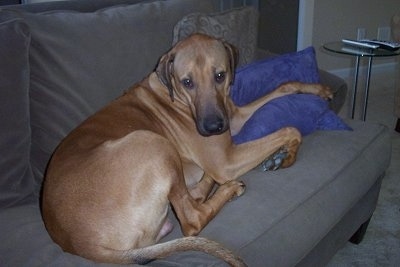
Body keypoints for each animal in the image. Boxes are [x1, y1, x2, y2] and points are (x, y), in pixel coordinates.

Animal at [42, 34, 332, 267]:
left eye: (220, 75)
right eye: (187, 82)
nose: (213, 126)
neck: (171, 95)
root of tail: (77, 243)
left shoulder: (233, 116)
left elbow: (284, 86)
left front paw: (318, 90)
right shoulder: (227, 158)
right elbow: (290, 128)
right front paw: (287, 155)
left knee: (191, 198)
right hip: (152, 142)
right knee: (192, 218)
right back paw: (227, 188)